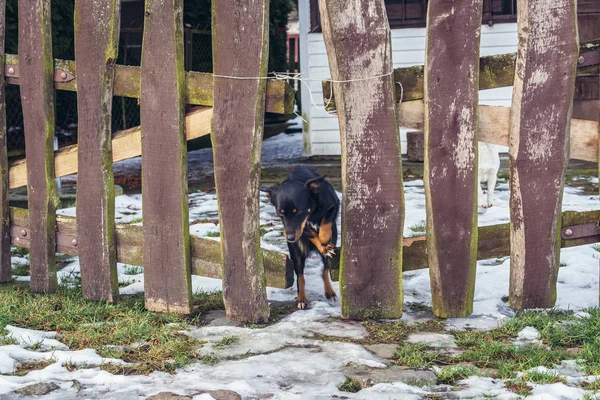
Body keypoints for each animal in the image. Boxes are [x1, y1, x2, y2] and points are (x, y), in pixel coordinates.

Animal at [260, 166, 340, 310]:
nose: (290, 238)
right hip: (296, 254)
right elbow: (310, 232)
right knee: (300, 277)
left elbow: (326, 222)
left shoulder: (334, 204)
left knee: (325, 270)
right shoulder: (300, 229)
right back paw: (301, 298)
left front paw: (324, 240)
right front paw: (322, 244)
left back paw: (329, 292)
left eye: (298, 212)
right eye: (280, 213)